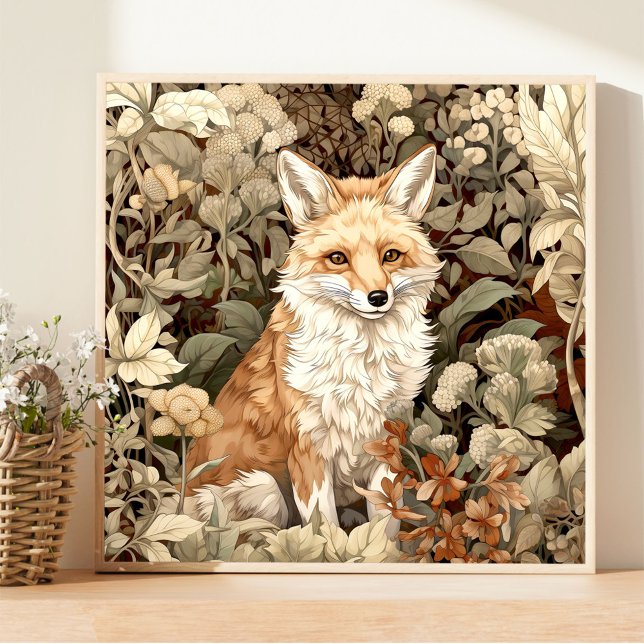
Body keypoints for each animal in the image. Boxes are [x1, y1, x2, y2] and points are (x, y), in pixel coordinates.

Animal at [184, 143, 443, 532]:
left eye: (390, 255)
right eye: (337, 258)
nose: (377, 298)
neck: (359, 368)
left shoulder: (387, 447)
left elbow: (385, 528)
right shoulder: (308, 451)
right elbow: (324, 531)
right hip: (263, 489)